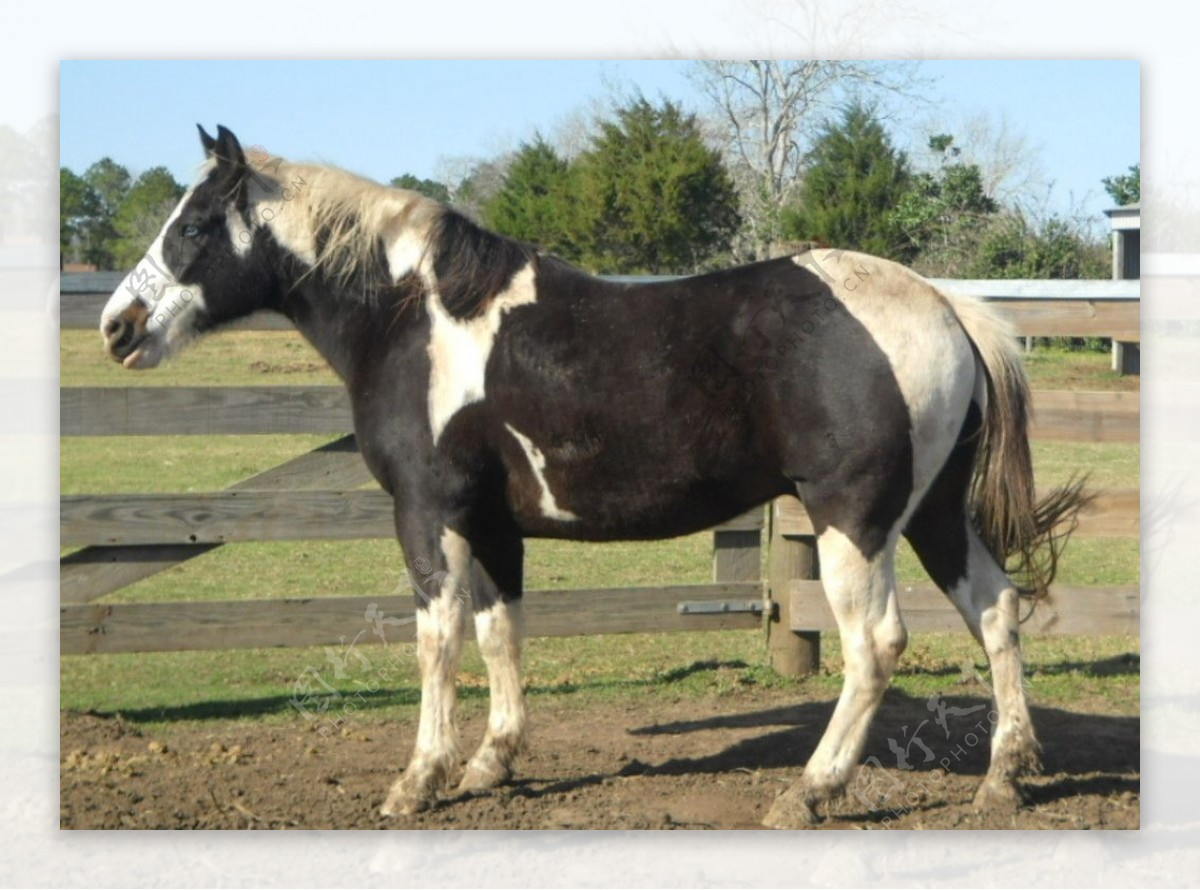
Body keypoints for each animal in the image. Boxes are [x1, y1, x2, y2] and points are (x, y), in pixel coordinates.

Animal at [98, 125, 1084, 830]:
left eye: (192, 226)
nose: (118, 325)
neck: (420, 318)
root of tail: (943, 304)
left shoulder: (429, 514)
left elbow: (437, 640)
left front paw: (419, 779)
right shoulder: (492, 525)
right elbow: (498, 634)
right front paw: (490, 763)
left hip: (856, 521)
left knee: (875, 647)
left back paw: (809, 792)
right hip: (933, 516)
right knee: (996, 610)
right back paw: (1003, 778)